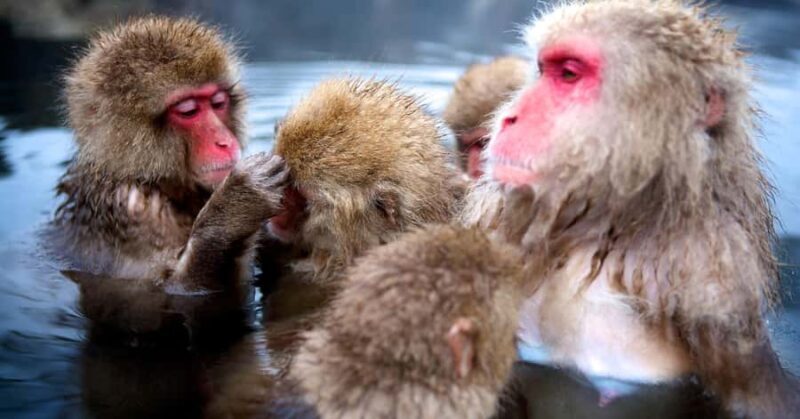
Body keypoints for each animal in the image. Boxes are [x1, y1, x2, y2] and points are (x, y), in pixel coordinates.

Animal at [50, 16, 289, 338]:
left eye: (218, 103)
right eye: (188, 111)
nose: (225, 142)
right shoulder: (132, 213)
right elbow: (174, 293)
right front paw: (235, 208)